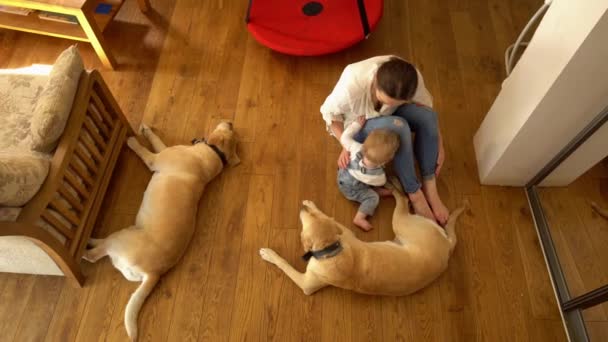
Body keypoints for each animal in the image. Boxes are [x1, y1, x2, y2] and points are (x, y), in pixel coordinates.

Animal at [82, 121, 239, 340]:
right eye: (232, 132)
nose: (231, 123)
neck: (214, 154)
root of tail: (153, 273)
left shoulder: (155, 159)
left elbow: (144, 151)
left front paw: (132, 141)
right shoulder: (164, 150)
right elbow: (157, 140)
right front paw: (146, 130)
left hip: (122, 237)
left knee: (96, 255)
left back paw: (86, 245)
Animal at [260, 179, 466, 296]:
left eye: (307, 221)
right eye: (313, 217)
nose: (303, 209)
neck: (332, 249)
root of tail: (448, 246)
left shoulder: (306, 285)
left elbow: (285, 265)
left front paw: (269, 254)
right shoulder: (347, 234)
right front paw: (312, 204)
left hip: (401, 222)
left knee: (403, 198)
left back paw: (391, 184)